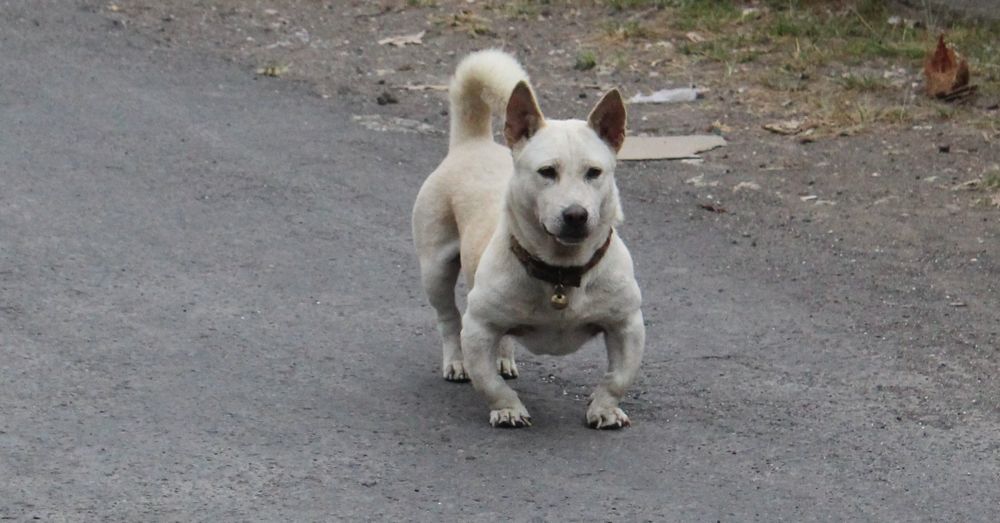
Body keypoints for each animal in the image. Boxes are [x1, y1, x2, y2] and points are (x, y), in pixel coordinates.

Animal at [410, 49, 644, 430]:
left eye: (594, 172)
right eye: (547, 172)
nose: (576, 215)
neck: (562, 271)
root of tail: (471, 143)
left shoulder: (627, 326)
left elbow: (618, 378)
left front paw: (605, 408)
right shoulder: (478, 329)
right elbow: (487, 381)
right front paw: (507, 408)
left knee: (503, 336)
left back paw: (504, 358)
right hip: (436, 269)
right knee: (448, 318)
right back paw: (456, 361)